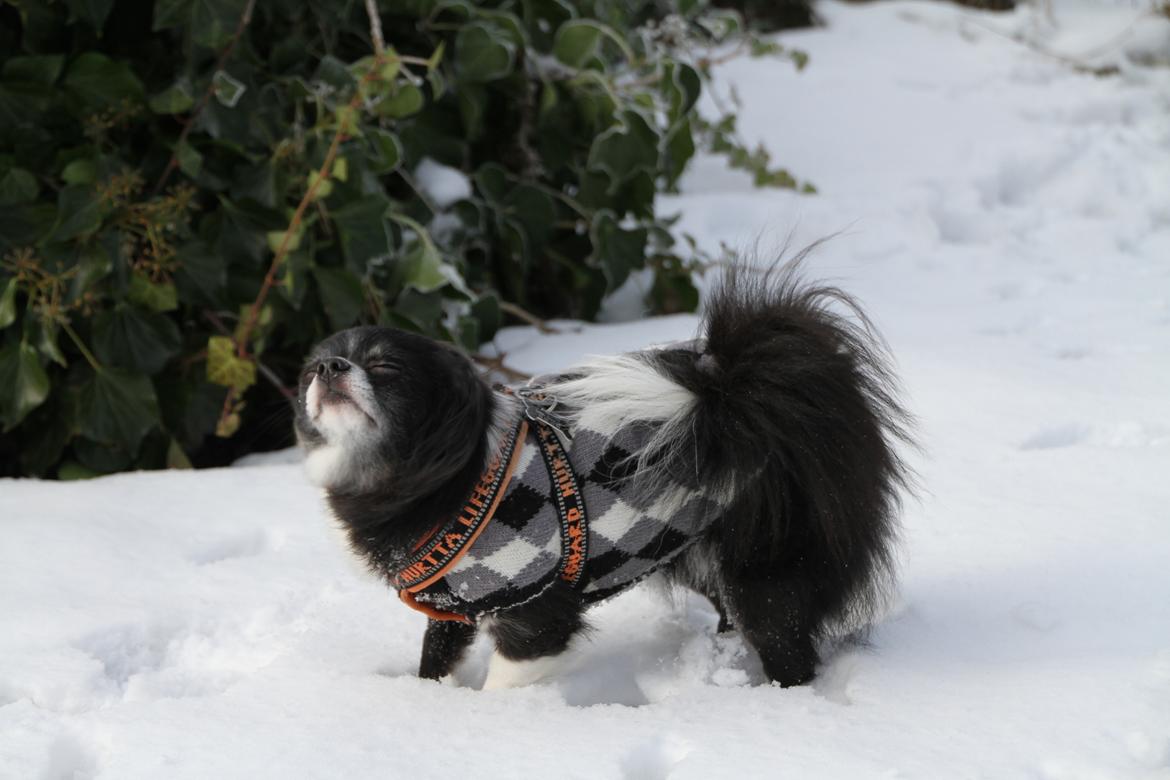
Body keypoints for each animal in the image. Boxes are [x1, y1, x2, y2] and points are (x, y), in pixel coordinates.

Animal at [292, 264, 912, 687]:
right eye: (309, 369)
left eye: (384, 367)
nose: (329, 367)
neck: (453, 479)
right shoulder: (457, 607)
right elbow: (437, 658)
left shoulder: (534, 611)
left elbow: (510, 673)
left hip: (766, 565)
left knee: (787, 641)